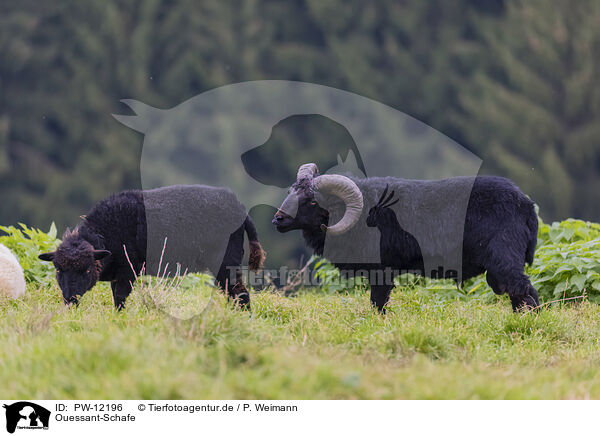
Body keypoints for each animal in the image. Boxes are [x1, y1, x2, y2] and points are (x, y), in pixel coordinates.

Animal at [37, 186, 262, 308]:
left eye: (86, 270)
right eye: (58, 270)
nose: (70, 300)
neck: (106, 231)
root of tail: (241, 209)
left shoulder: (128, 270)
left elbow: (120, 298)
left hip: (226, 260)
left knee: (239, 292)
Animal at [272, 162, 540, 312]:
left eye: (313, 201)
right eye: (291, 192)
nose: (278, 220)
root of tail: (526, 204)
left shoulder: (382, 269)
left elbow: (378, 301)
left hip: (504, 258)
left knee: (525, 292)